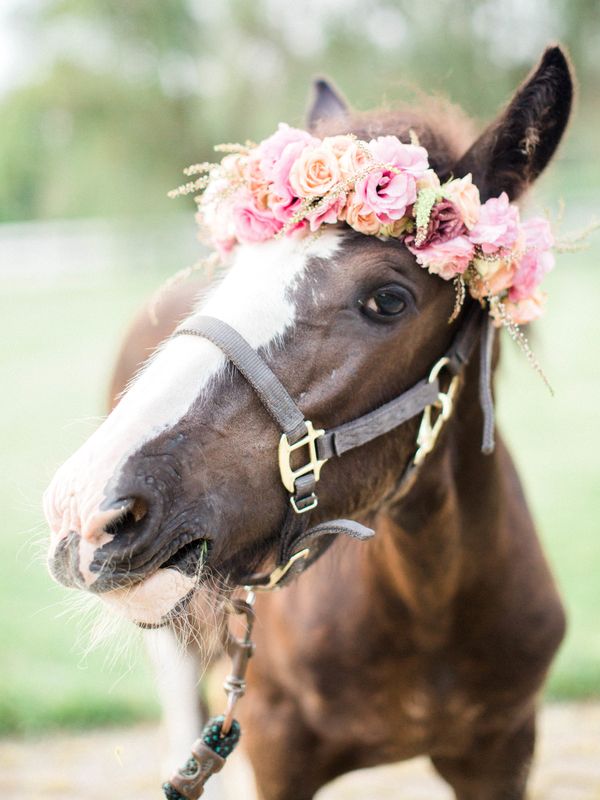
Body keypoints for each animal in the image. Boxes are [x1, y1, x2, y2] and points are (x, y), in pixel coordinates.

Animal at [45, 47, 572, 800]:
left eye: (388, 299)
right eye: (238, 265)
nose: (85, 509)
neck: (428, 597)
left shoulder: (504, 753)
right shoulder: (275, 747)